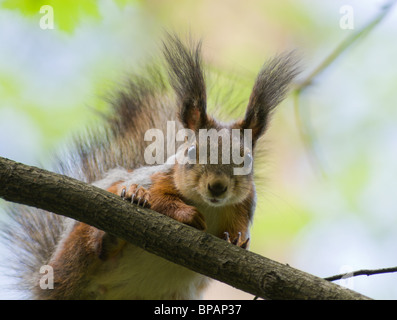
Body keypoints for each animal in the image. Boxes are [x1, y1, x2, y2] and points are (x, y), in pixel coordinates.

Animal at [0, 33, 296, 298]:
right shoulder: (158, 178)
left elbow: (239, 229)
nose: (217, 187)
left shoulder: (242, 207)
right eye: (191, 151)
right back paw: (113, 230)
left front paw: (237, 240)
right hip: (78, 241)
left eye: (246, 159)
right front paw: (181, 211)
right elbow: (159, 197)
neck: (210, 207)